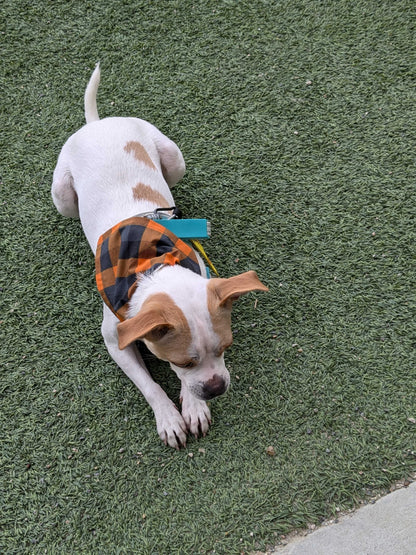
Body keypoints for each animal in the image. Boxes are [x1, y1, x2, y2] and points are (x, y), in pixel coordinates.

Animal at [52, 65, 268, 450]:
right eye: (181, 362)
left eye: (226, 346)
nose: (216, 388)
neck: (150, 266)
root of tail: (97, 123)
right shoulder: (115, 339)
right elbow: (149, 385)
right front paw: (169, 417)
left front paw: (193, 407)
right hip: (60, 194)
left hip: (173, 157)